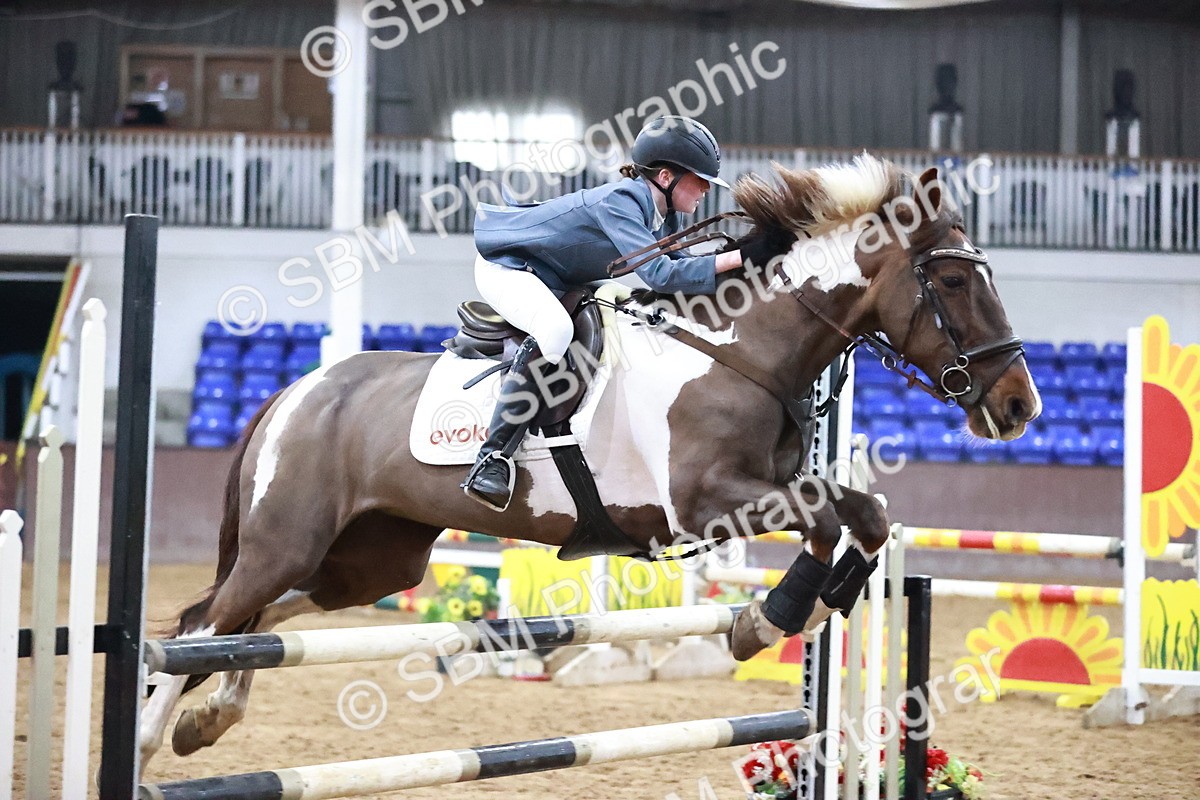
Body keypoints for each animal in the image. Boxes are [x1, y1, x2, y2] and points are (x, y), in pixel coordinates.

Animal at [138, 154, 1039, 773]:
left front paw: (786, 614)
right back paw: (152, 741)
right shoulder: (708, 502)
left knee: (252, 624)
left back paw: (206, 721)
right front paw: (771, 619)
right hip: (286, 541)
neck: (740, 349)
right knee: (203, 627)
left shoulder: (765, 491)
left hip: (369, 561)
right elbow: (830, 516)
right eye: (952, 279)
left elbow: (865, 516)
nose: (1020, 406)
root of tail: (295, 392)